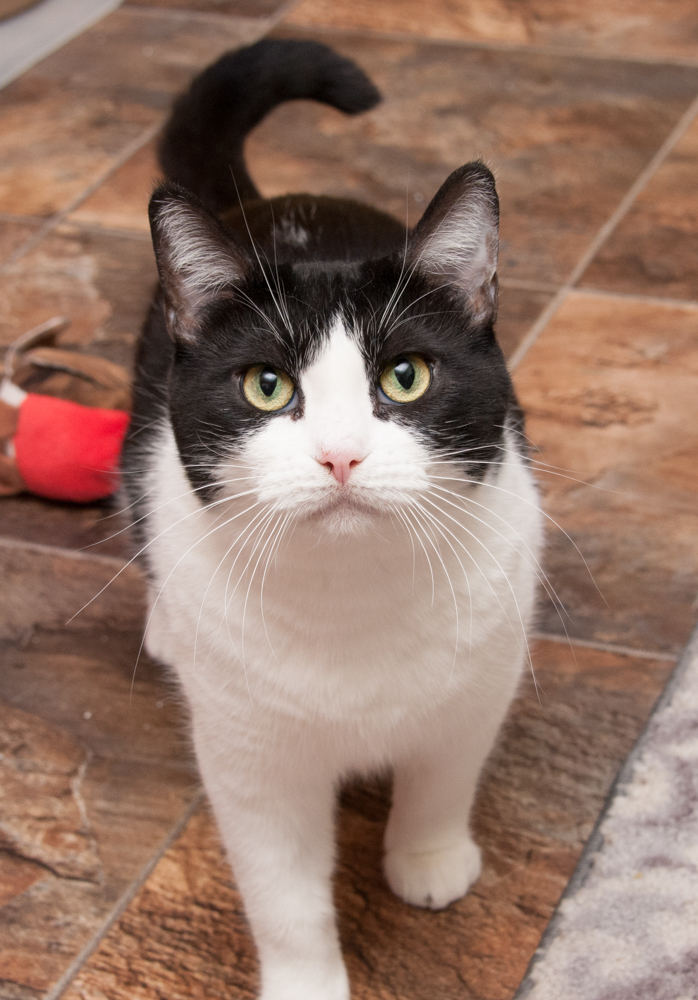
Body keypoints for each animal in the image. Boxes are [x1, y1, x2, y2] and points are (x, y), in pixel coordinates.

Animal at [122, 39, 540, 1000]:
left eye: (406, 377)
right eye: (267, 386)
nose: (341, 455)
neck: (353, 596)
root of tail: (267, 207)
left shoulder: (480, 683)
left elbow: (442, 776)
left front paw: (428, 860)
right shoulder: (252, 754)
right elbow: (282, 887)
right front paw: (307, 980)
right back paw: (163, 623)